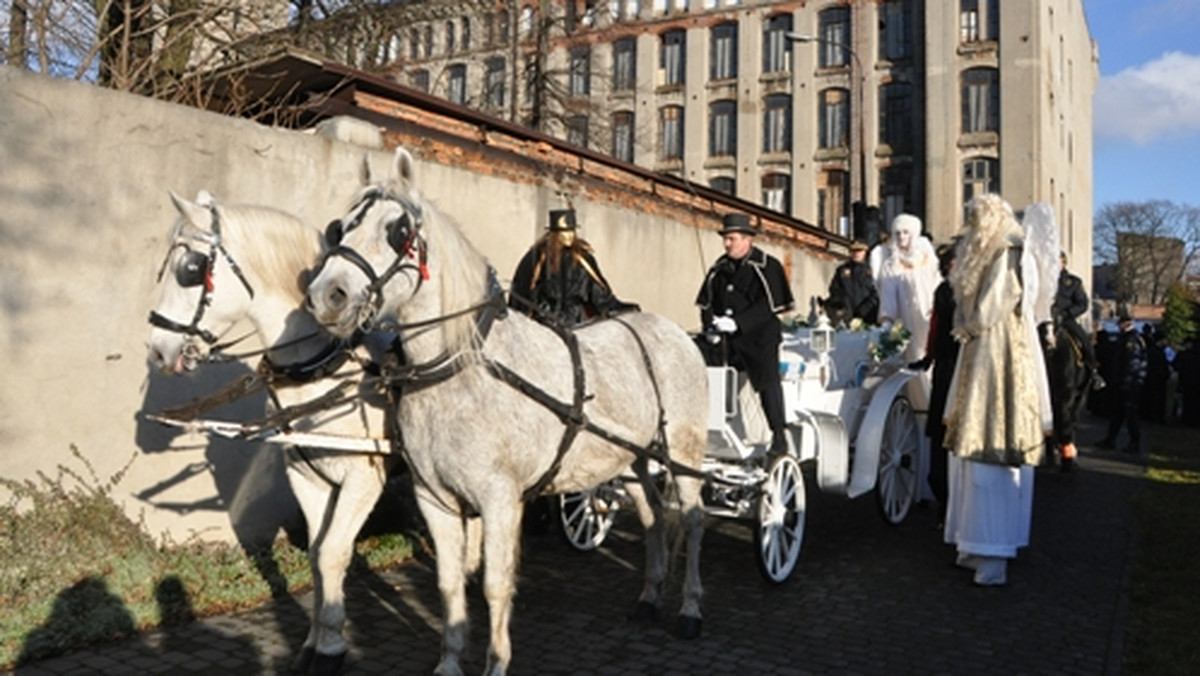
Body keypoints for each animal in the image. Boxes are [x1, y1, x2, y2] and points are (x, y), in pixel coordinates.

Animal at [147, 192, 400, 676]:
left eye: (190, 268)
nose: (157, 350)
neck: (326, 365)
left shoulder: (364, 478)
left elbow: (334, 552)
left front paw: (331, 649)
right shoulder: (308, 476)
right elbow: (318, 556)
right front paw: (316, 643)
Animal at [304, 150, 705, 672]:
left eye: (399, 231)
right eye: (342, 225)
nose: (326, 295)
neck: (460, 369)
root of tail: (674, 331)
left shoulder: (499, 499)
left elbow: (496, 586)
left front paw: (496, 662)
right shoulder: (434, 498)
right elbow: (449, 584)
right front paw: (449, 661)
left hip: (683, 452)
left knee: (692, 521)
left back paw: (690, 609)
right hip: (630, 457)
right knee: (655, 515)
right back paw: (649, 597)